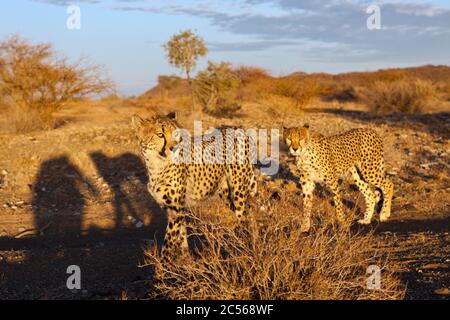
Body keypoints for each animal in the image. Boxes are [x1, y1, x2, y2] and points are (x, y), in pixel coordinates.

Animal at [131, 112, 256, 260]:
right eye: (160, 134)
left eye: (176, 133)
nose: (174, 148)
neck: (156, 166)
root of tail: (238, 128)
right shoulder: (173, 209)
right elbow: (181, 236)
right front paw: (187, 260)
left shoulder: (176, 209)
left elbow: (168, 244)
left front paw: (163, 265)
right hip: (225, 193)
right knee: (249, 211)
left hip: (238, 192)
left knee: (245, 217)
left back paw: (247, 248)